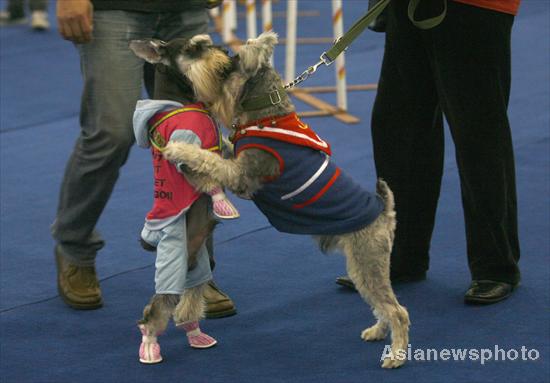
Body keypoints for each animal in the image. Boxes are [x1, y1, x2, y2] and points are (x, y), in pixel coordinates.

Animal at [132, 33, 412, 368]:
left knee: (398, 310)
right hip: (363, 267)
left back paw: (396, 354)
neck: (269, 111)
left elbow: (209, 160)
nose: (221, 55)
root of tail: (384, 210)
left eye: (228, 65)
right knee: (382, 305)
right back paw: (377, 331)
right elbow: (220, 150)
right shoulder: (236, 160)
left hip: (367, 262)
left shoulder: (241, 175)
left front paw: (179, 150)